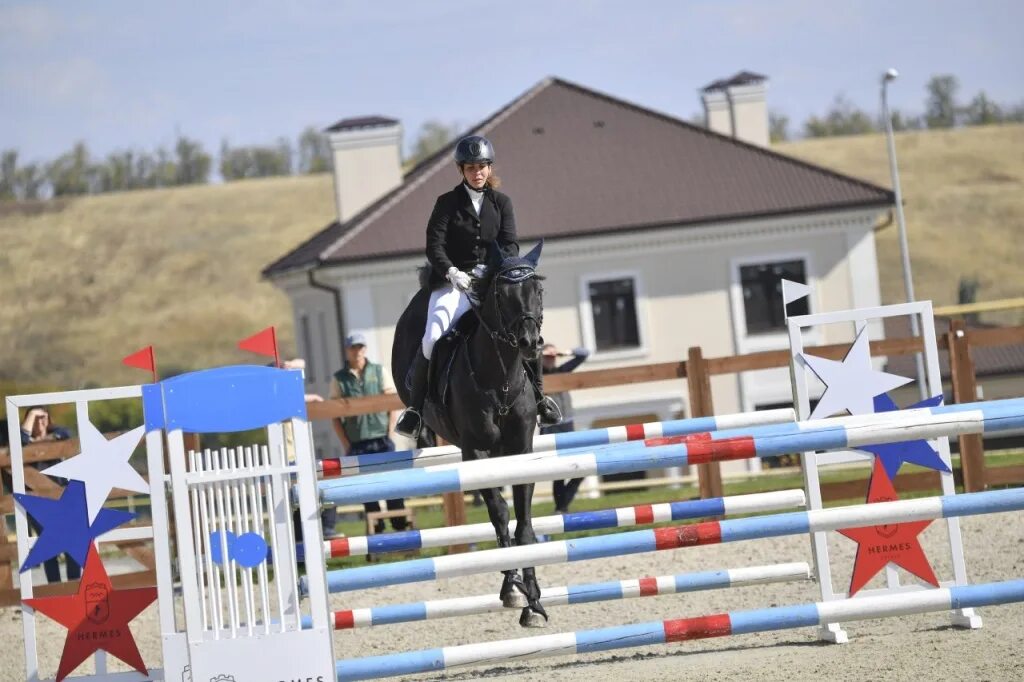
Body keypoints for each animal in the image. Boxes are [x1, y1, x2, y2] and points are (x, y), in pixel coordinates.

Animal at [393, 241, 552, 630]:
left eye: (538, 291)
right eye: (502, 294)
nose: (529, 343)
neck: (501, 378)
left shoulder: (521, 451)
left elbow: (524, 525)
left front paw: (534, 603)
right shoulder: (476, 452)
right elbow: (499, 514)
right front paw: (512, 589)